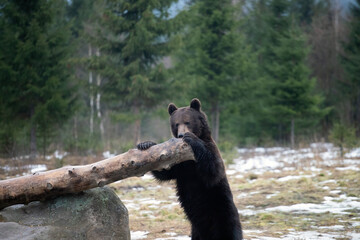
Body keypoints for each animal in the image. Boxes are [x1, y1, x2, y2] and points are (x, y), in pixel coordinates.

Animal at [137, 98, 242, 240]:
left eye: (187, 121)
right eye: (176, 124)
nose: (181, 135)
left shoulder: (210, 152)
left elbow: (213, 171)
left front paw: (192, 138)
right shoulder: (180, 164)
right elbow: (165, 172)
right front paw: (145, 144)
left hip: (223, 211)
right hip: (196, 230)